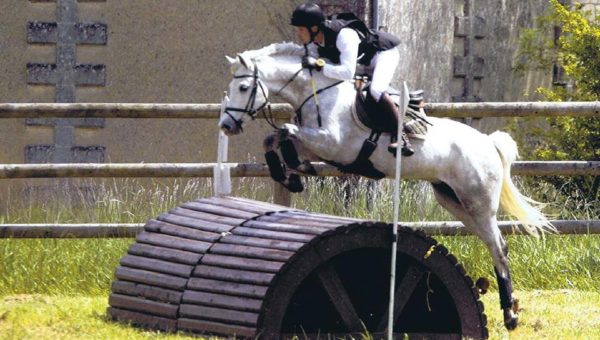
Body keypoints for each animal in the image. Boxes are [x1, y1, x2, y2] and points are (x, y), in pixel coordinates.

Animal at [219, 41, 552, 330]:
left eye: (244, 88)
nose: (227, 126)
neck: (317, 93)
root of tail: (487, 142)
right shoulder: (317, 146)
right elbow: (274, 138)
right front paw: (291, 174)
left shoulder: (333, 144)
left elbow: (286, 131)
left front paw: (293, 172)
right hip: (453, 200)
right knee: (493, 242)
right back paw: (511, 306)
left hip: (477, 202)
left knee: (498, 246)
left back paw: (510, 314)